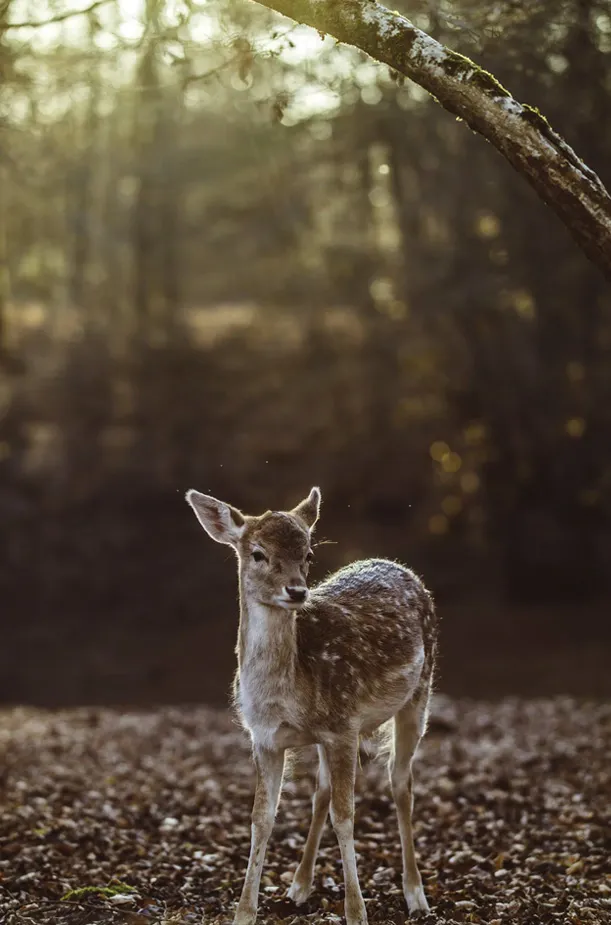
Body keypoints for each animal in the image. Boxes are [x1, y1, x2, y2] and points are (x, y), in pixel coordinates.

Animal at [186, 486, 438, 925]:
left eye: (308, 554)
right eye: (258, 553)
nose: (297, 591)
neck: (283, 697)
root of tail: (400, 567)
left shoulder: (344, 726)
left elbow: (346, 816)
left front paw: (356, 912)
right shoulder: (265, 739)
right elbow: (261, 818)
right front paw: (244, 912)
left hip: (419, 693)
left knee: (400, 783)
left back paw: (416, 895)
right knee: (321, 790)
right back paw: (299, 886)